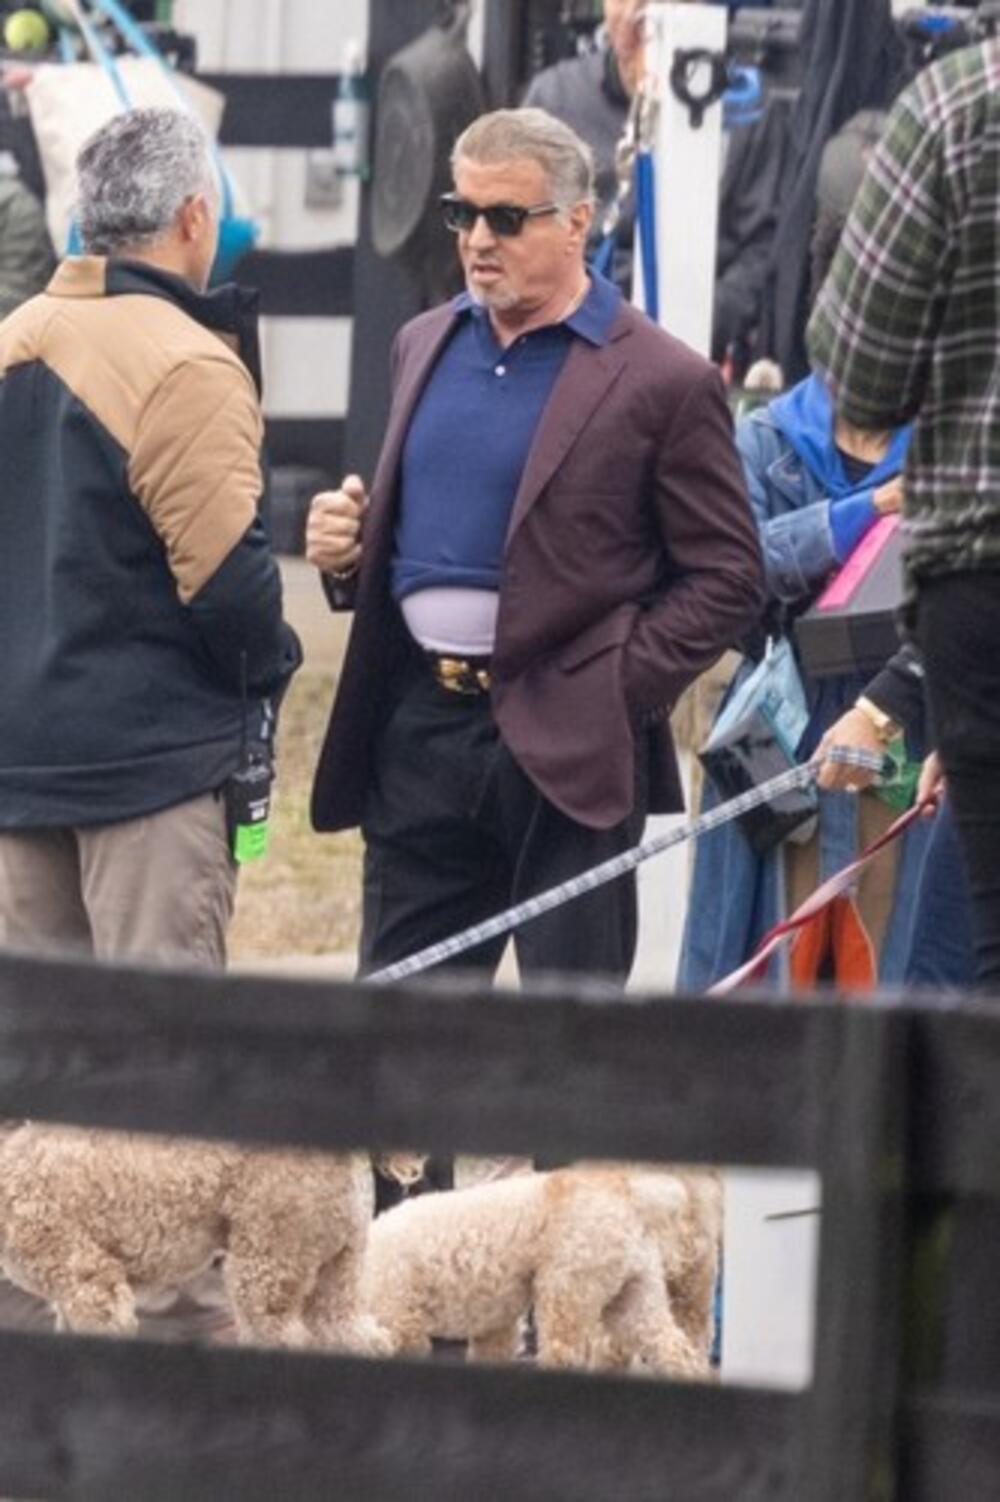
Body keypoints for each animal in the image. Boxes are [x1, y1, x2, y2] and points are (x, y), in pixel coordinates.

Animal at [363, 1163, 720, 1376]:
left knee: (566, 1353)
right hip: (634, 1295)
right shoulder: (495, 1328)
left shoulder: (399, 1321)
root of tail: (629, 1192)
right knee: (676, 1352)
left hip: (567, 1292)